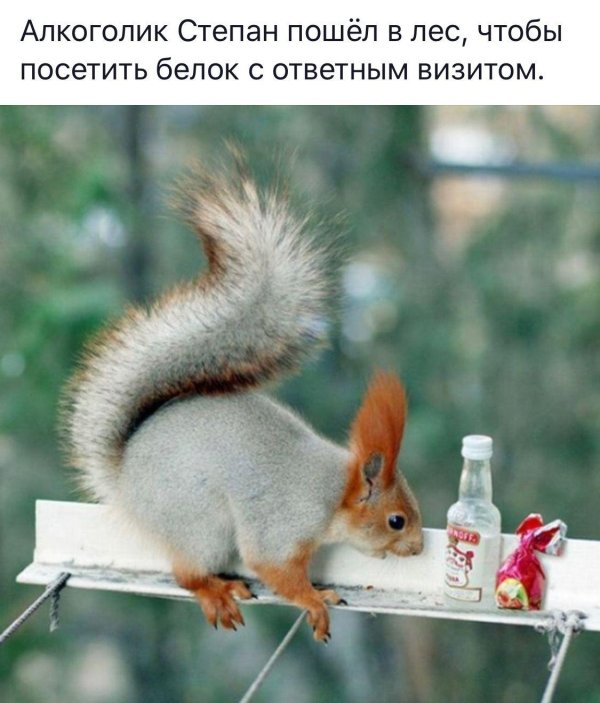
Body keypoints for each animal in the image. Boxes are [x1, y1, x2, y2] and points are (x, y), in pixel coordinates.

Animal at [62, 158, 423, 642]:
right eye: (395, 520)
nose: (418, 548)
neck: (329, 492)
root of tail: (123, 477)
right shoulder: (282, 523)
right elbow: (273, 568)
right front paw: (313, 600)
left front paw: (321, 593)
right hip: (201, 522)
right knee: (187, 574)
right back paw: (217, 592)